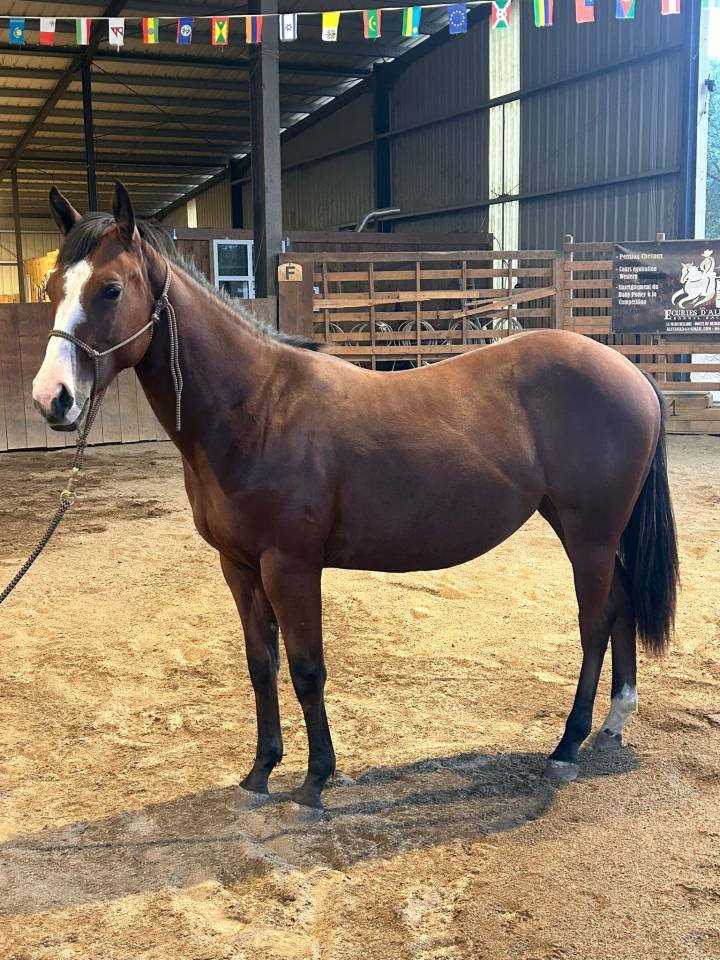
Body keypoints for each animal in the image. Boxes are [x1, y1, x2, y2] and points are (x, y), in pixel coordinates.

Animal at [32, 182, 679, 812]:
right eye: (52, 288)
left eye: (112, 289)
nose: (52, 398)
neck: (257, 407)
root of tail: (630, 371)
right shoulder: (238, 566)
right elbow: (260, 666)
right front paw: (260, 771)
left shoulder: (291, 567)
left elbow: (306, 669)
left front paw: (315, 781)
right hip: (585, 531)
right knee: (621, 602)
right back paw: (613, 723)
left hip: (589, 534)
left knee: (595, 622)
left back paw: (567, 746)